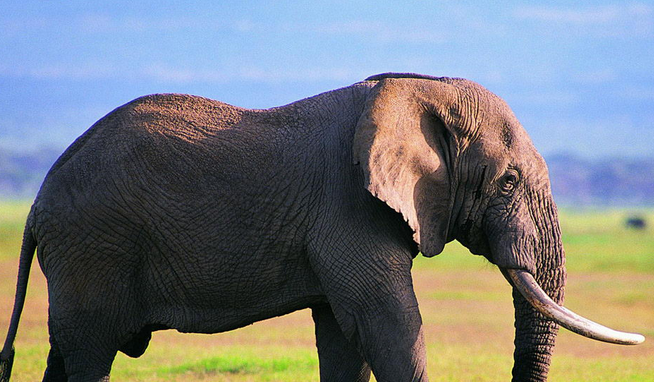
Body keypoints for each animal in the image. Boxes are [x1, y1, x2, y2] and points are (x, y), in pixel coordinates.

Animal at [0, 72, 644, 382]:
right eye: (508, 183)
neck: (419, 89)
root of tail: (35, 203)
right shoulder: (347, 207)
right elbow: (388, 323)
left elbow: (343, 337)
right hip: (93, 247)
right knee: (89, 354)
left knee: (65, 354)